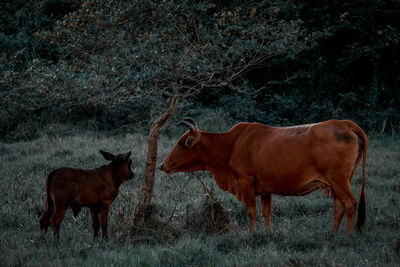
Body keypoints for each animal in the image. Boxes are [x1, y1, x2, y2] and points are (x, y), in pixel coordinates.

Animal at [161, 119, 368, 234]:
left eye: (182, 143)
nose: (162, 165)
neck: (231, 145)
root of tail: (343, 123)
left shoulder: (246, 182)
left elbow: (251, 211)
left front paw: (252, 233)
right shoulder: (266, 189)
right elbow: (266, 212)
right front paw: (267, 233)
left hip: (338, 181)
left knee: (350, 204)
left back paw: (347, 235)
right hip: (338, 182)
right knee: (339, 206)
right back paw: (333, 233)